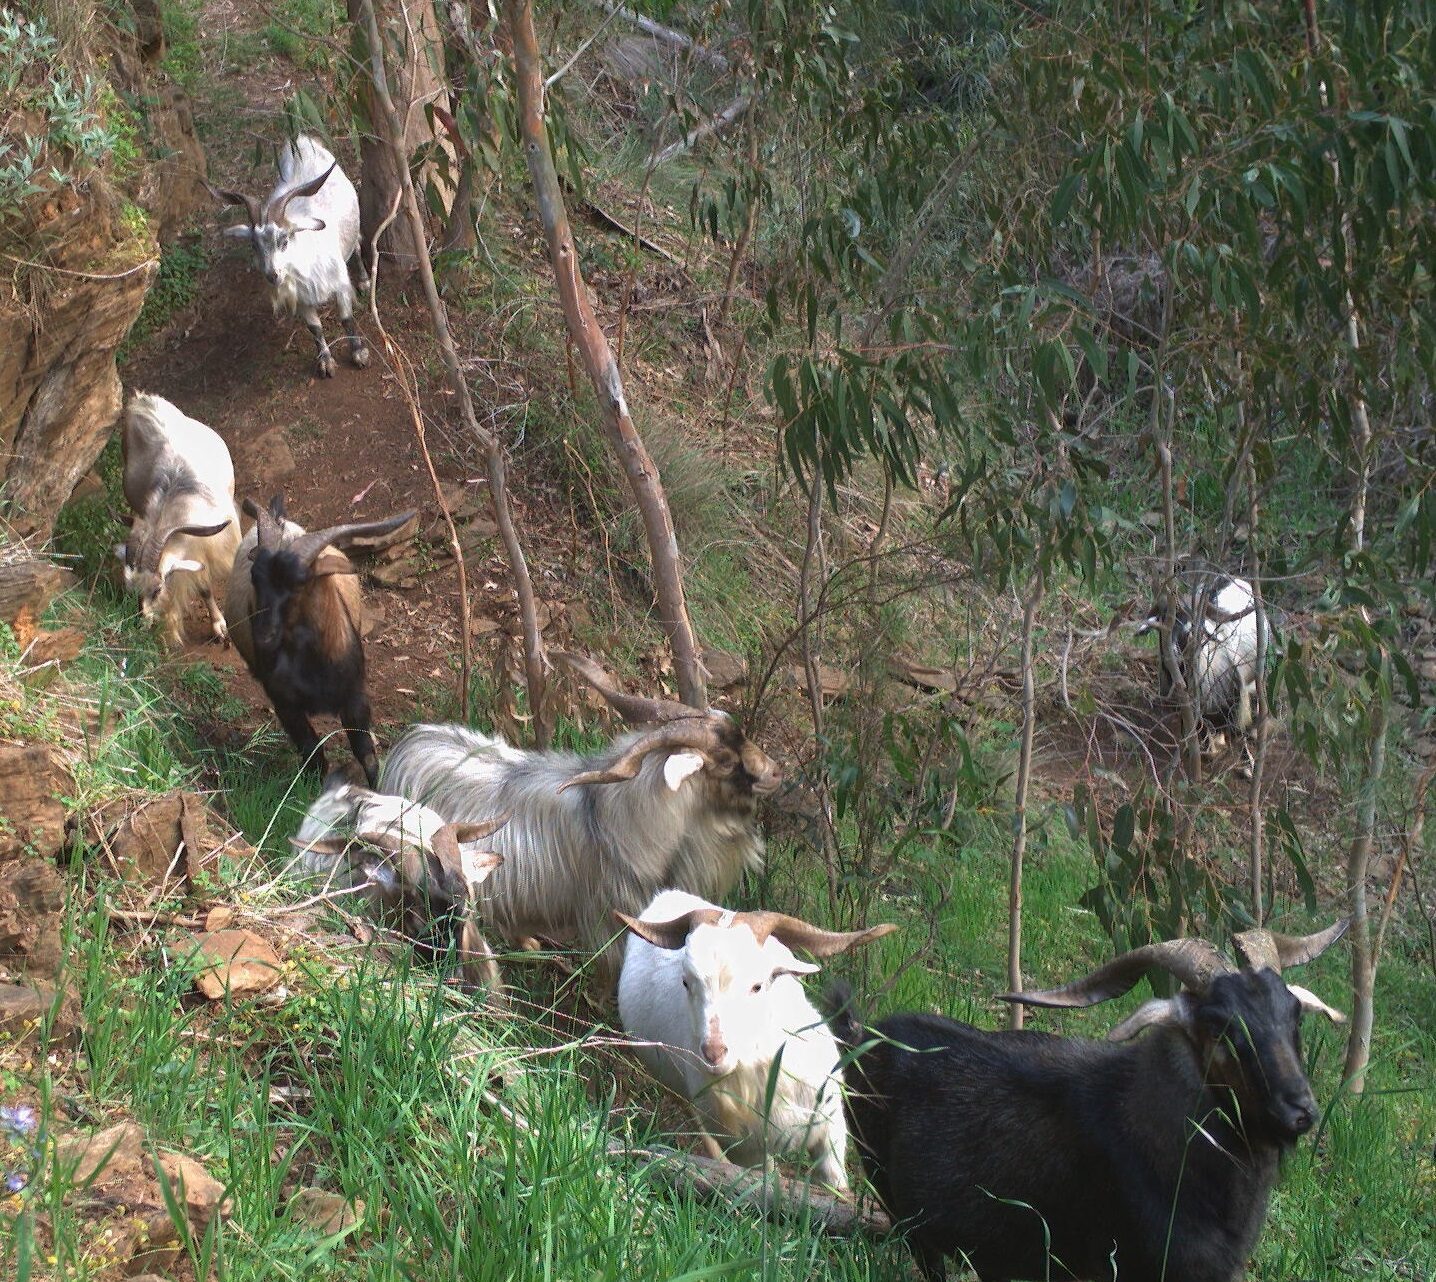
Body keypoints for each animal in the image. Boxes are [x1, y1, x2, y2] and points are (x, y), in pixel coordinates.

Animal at [208, 135, 370, 378]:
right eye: (254, 245)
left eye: (284, 241)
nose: (272, 275)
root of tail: (303, 140)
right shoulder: (300, 297)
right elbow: (315, 328)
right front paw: (325, 362)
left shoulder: (340, 283)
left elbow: (346, 318)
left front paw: (359, 353)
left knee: (358, 244)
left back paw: (365, 281)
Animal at [226, 494, 415, 786]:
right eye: (255, 575)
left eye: (301, 581)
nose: (264, 636)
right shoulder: (284, 703)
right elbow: (312, 753)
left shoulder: (354, 696)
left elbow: (366, 754)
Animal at [617, 889, 895, 1189]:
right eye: (686, 982)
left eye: (758, 985)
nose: (714, 1053)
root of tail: (668, 894)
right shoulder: (746, 1147)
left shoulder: (829, 1127)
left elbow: (836, 1185)